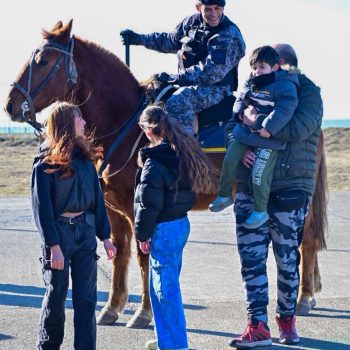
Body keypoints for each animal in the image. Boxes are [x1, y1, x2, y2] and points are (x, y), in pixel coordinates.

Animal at [4, 20, 326, 326]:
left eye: (43, 60)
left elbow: (145, 257)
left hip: (300, 198)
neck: (124, 124)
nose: (10, 104)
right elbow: (119, 253)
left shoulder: (141, 207)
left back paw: (303, 297)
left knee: (306, 240)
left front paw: (144, 312)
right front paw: (112, 307)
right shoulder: (113, 210)